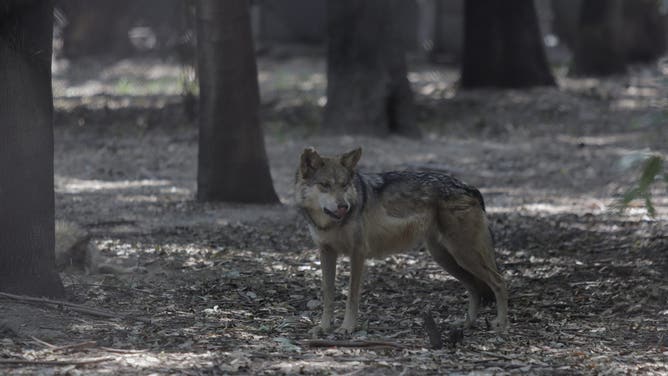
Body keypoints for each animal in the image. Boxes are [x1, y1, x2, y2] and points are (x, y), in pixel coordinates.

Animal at [294, 147, 508, 334]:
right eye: (325, 185)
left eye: (344, 185)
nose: (343, 207)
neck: (331, 223)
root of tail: (470, 187)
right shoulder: (326, 252)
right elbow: (328, 293)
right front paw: (323, 327)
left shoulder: (358, 253)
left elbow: (351, 296)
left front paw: (347, 327)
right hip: (447, 259)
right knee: (474, 288)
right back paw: (467, 323)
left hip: (464, 255)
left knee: (499, 281)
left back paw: (501, 323)